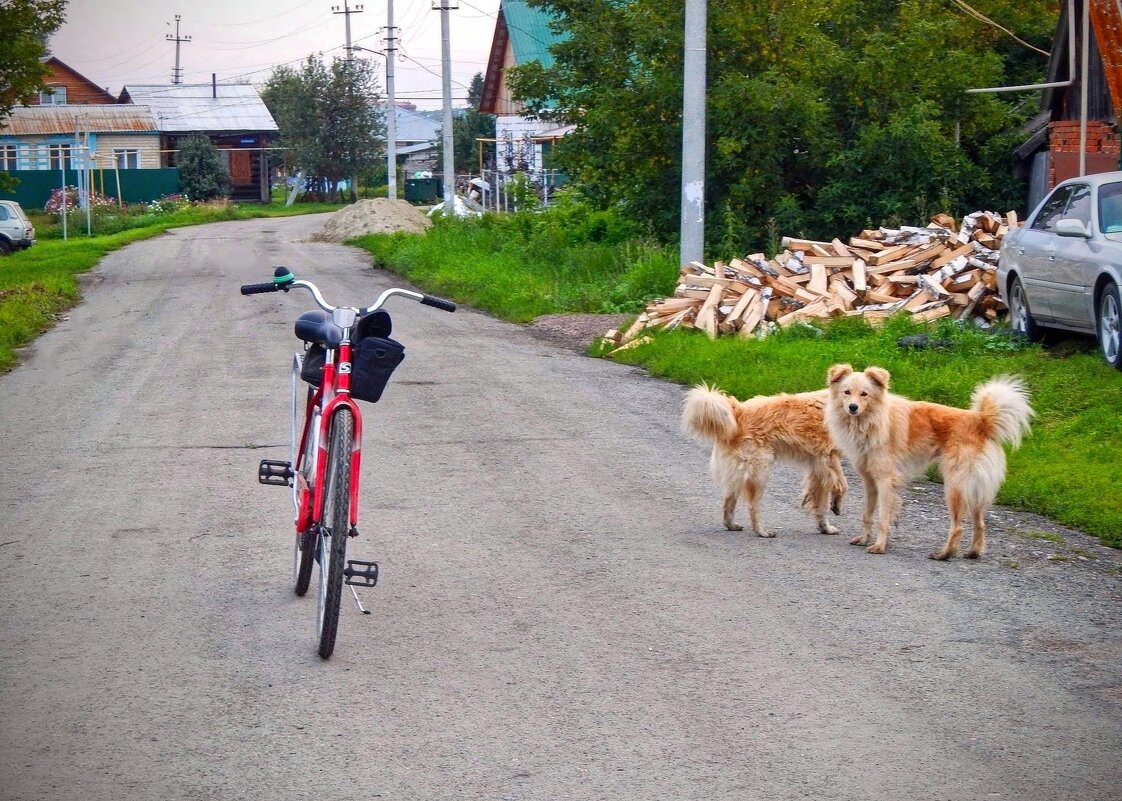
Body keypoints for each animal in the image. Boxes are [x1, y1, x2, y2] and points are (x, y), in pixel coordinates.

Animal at [677, 381, 843, 536]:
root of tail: (738, 411)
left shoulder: (818, 465)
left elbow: (820, 501)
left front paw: (825, 527)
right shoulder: (828, 458)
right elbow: (841, 483)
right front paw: (836, 504)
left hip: (738, 472)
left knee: (728, 502)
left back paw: (732, 525)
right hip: (760, 473)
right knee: (753, 506)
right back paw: (762, 531)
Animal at [825, 365, 1032, 558]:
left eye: (864, 394)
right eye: (846, 392)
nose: (853, 407)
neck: (870, 420)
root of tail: (981, 421)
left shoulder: (885, 480)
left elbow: (883, 518)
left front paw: (879, 546)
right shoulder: (869, 481)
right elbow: (867, 514)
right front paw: (863, 539)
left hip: (954, 486)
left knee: (958, 526)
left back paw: (944, 554)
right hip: (973, 488)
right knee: (980, 523)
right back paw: (973, 552)